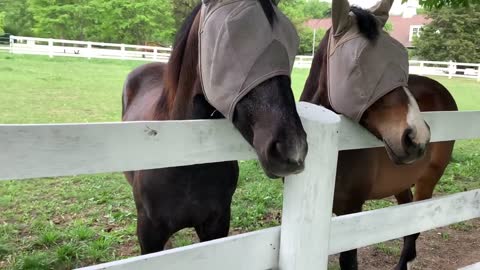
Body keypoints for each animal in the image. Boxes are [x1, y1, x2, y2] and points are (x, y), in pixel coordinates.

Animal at [302, 3, 460, 270]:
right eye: (358, 66)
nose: (416, 135)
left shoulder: (351, 210)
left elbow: (348, 261)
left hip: (428, 179)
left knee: (413, 227)